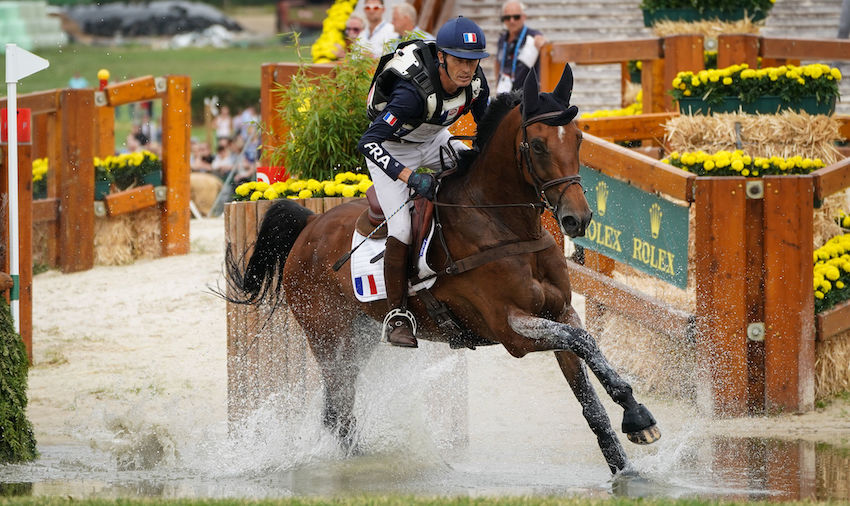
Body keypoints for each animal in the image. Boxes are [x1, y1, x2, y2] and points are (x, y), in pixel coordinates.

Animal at [227, 64, 664, 474]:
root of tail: (310, 224)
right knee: (338, 409)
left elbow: (588, 380)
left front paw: (628, 458)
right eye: (538, 145)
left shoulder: (559, 312)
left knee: (338, 410)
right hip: (330, 340)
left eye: (578, 139)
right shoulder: (511, 330)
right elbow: (582, 341)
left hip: (362, 336)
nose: (578, 220)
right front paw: (638, 416)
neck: (504, 223)